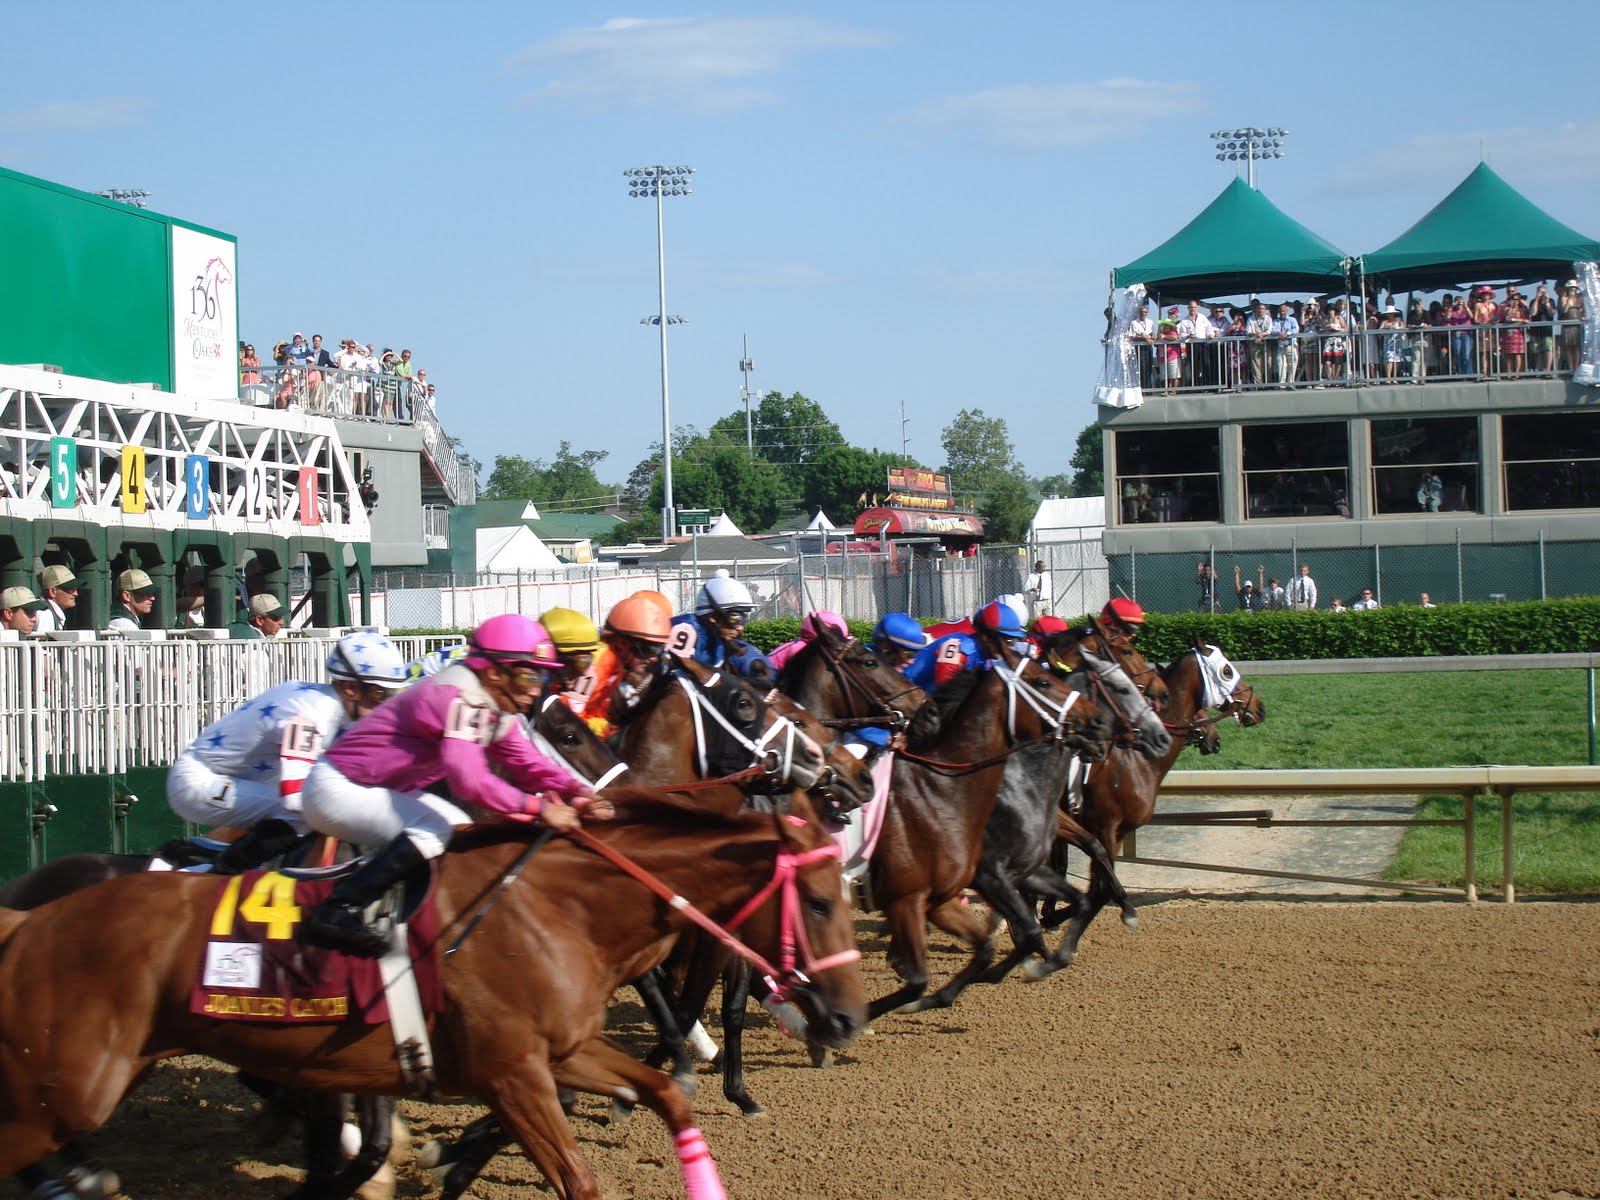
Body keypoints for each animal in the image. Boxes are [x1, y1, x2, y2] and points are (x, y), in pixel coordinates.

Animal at [0, 790, 870, 1200]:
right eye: (816, 900)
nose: (849, 1018)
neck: (556, 905)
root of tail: (28, 923)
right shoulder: (512, 1073)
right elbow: (576, 1177)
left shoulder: (561, 1051)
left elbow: (665, 1094)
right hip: (65, 1091)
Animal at [1049, 640, 1260, 966]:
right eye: (1227, 671)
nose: (1258, 707)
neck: (1137, 760)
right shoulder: (1102, 827)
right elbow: (1099, 889)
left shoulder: (1116, 833)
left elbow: (1097, 888)